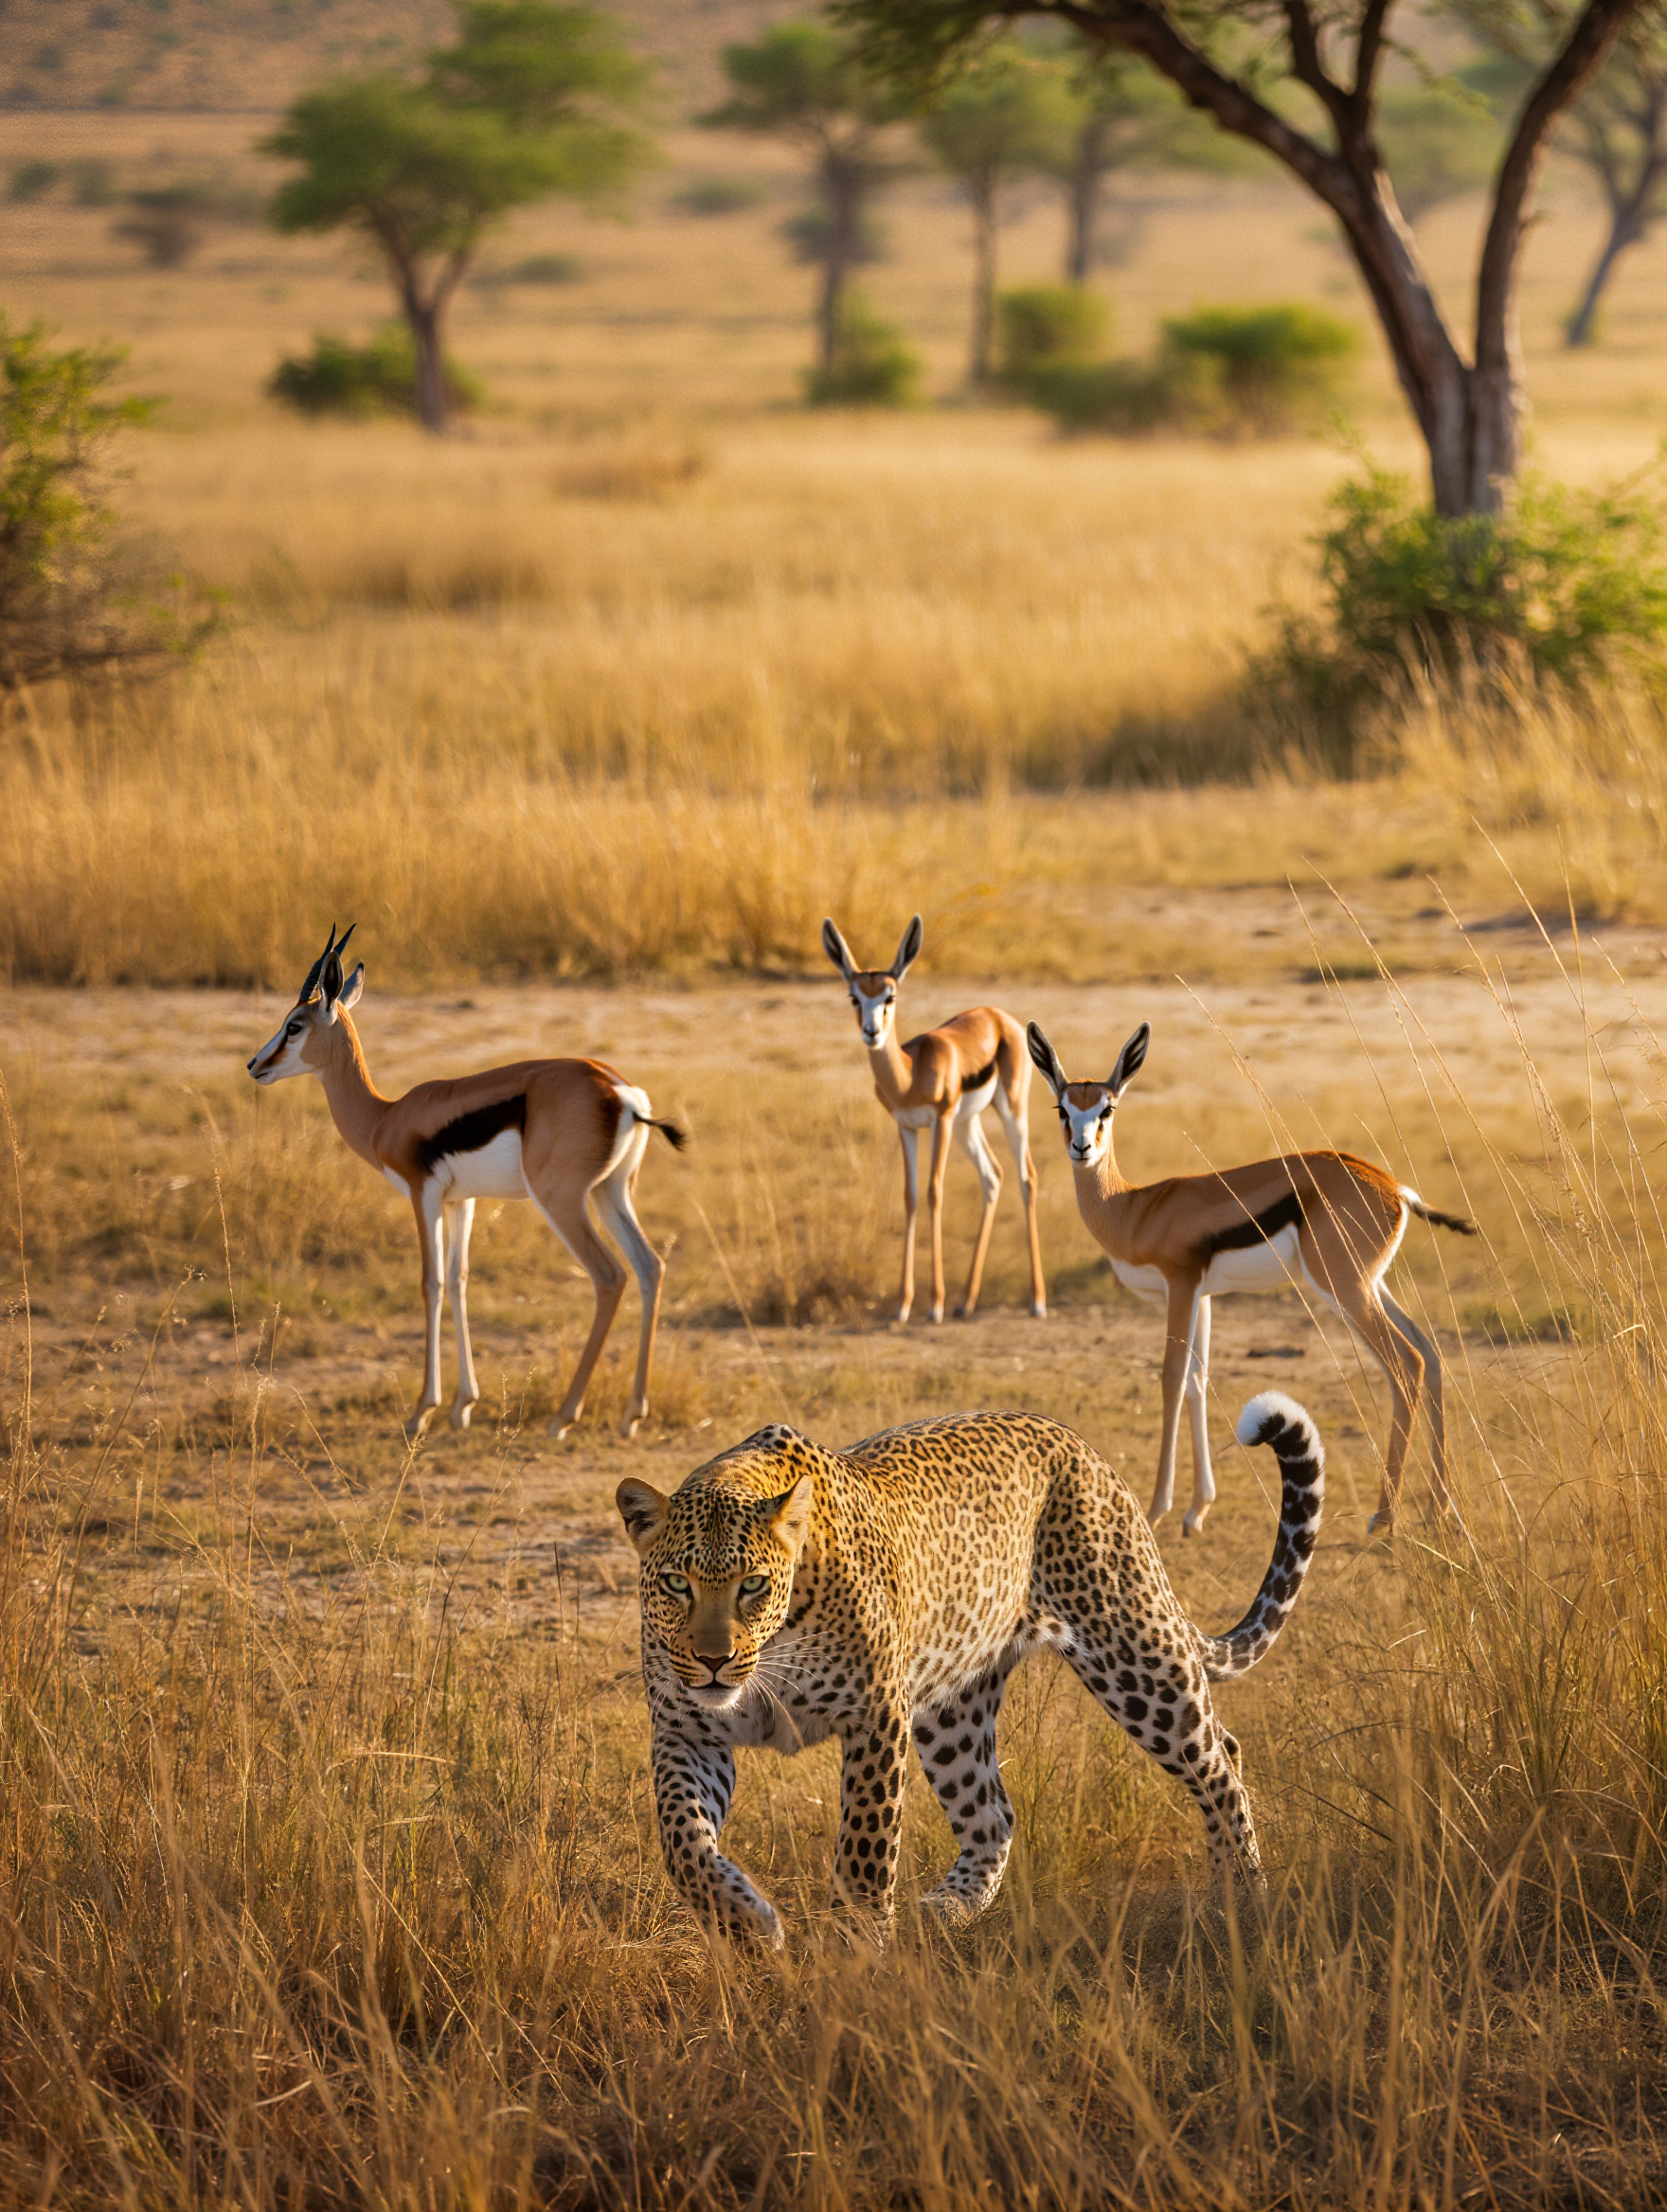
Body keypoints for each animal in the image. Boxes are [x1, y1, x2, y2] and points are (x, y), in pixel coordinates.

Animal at [615, 1390, 1324, 1946]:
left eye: (753, 1585)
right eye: (676, 1583)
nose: (712, 1662)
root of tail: (1082, 1447)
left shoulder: (876, 1718)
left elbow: (865, 1853)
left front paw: (855, 1955)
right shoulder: (687, 1731)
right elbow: (682, 1840)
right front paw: (744, 1922)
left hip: (1135, 1655)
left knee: (1220, 1758)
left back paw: (1242, 1900)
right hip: (952, 1707)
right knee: (993, 1814)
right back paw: (947, 1910)